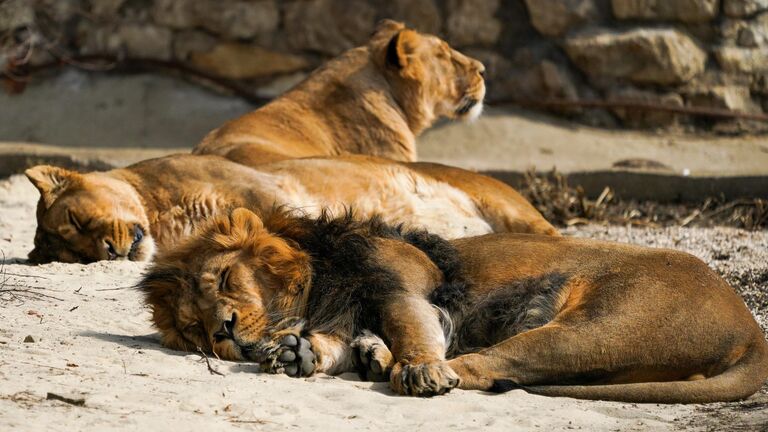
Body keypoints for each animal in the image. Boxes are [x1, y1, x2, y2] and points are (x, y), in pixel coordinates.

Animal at [140, 208, 768, 404]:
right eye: (195, 328)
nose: (223, 331)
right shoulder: (346, 310)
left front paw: (417, 365)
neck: (319, 289)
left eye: (224, 279)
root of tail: (751, 327)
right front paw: (299, 352)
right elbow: (334, 341)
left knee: (485, 366)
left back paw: (408, 370)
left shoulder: (401, 286)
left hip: (595, 323)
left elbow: (413, 327)